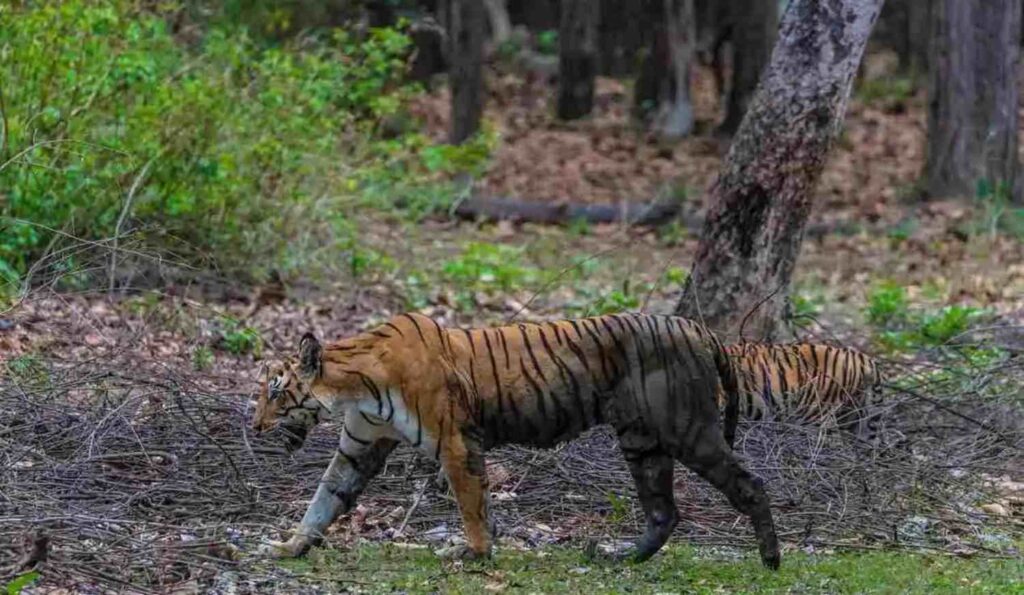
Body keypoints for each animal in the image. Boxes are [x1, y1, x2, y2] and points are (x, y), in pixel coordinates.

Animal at [251, 312, 780, 569]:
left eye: (275, 393)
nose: (255, 427)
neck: (353, 388)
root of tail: (699, 328)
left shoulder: (456, 441)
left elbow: (471, 504)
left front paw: (473, 553)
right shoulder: (358, 447)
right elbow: (324, 499)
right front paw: (291, 546)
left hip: (687, 430)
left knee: (751, 484)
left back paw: (771, 561)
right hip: (642, 442)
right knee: (663, 512)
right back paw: (620, 558)